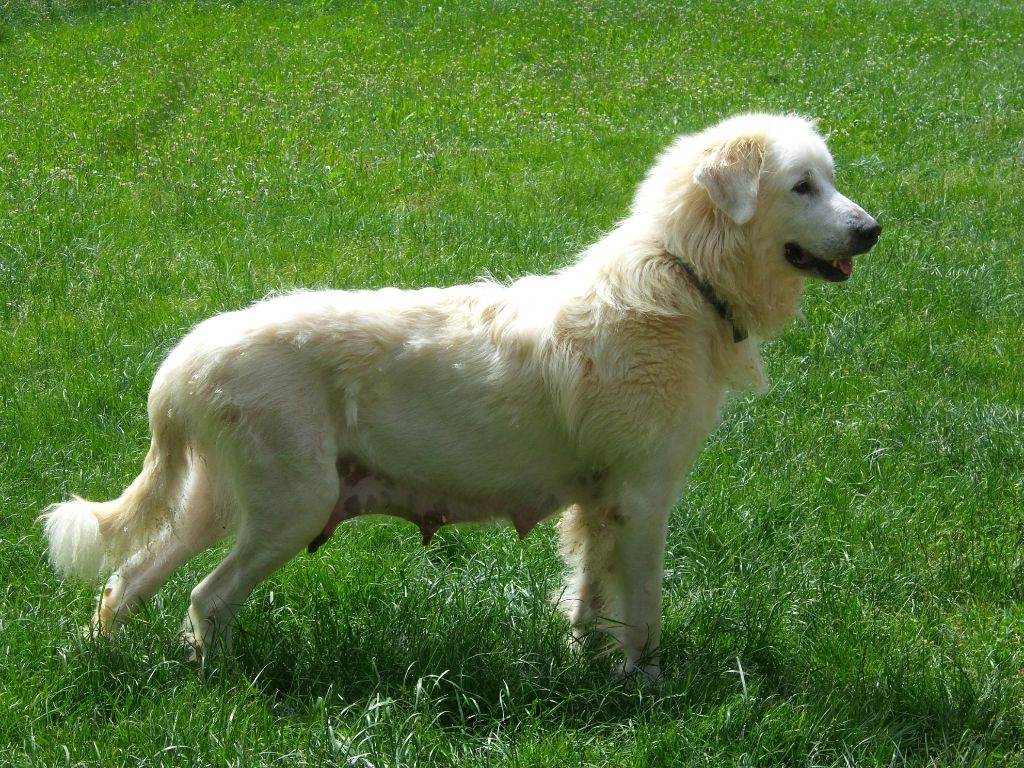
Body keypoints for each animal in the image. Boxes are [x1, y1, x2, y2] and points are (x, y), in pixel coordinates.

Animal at [44, 114, 880, 679]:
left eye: (829, 179)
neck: (684, 276)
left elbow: (589, 597)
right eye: (802, 186)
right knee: (205, 599)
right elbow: (643, 612)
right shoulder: (644, 498)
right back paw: (223, 686)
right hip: (291, 507)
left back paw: (109, 660)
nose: (872, 230)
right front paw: (643, 687)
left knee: (129, 582)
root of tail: (187, 354)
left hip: (220, 504)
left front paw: (584, 669)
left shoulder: (598, 503)